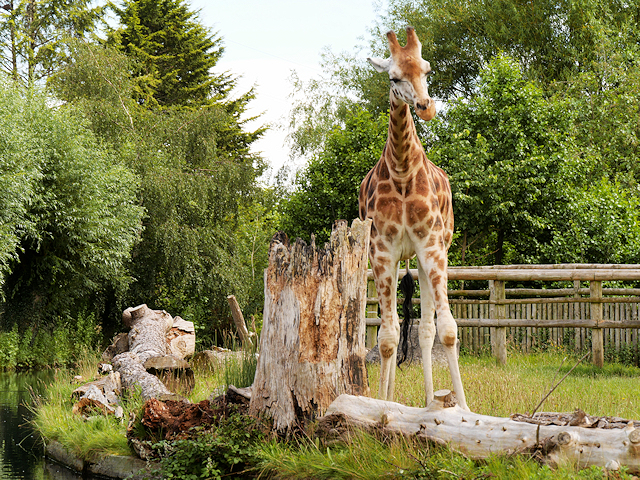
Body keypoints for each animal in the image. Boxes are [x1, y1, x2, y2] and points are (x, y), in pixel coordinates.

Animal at [358, 26, 468, 410]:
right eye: (394, 76)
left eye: (427, 69)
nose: (425, 106)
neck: (403, 171)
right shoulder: (382, 252)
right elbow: (387, 337)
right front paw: (381, 407)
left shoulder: (432, 246)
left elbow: (446, 330)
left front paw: (466, 409)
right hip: (391, 261)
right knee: (390, 328)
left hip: (423, 257)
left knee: (426, 330)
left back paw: (431, 400)